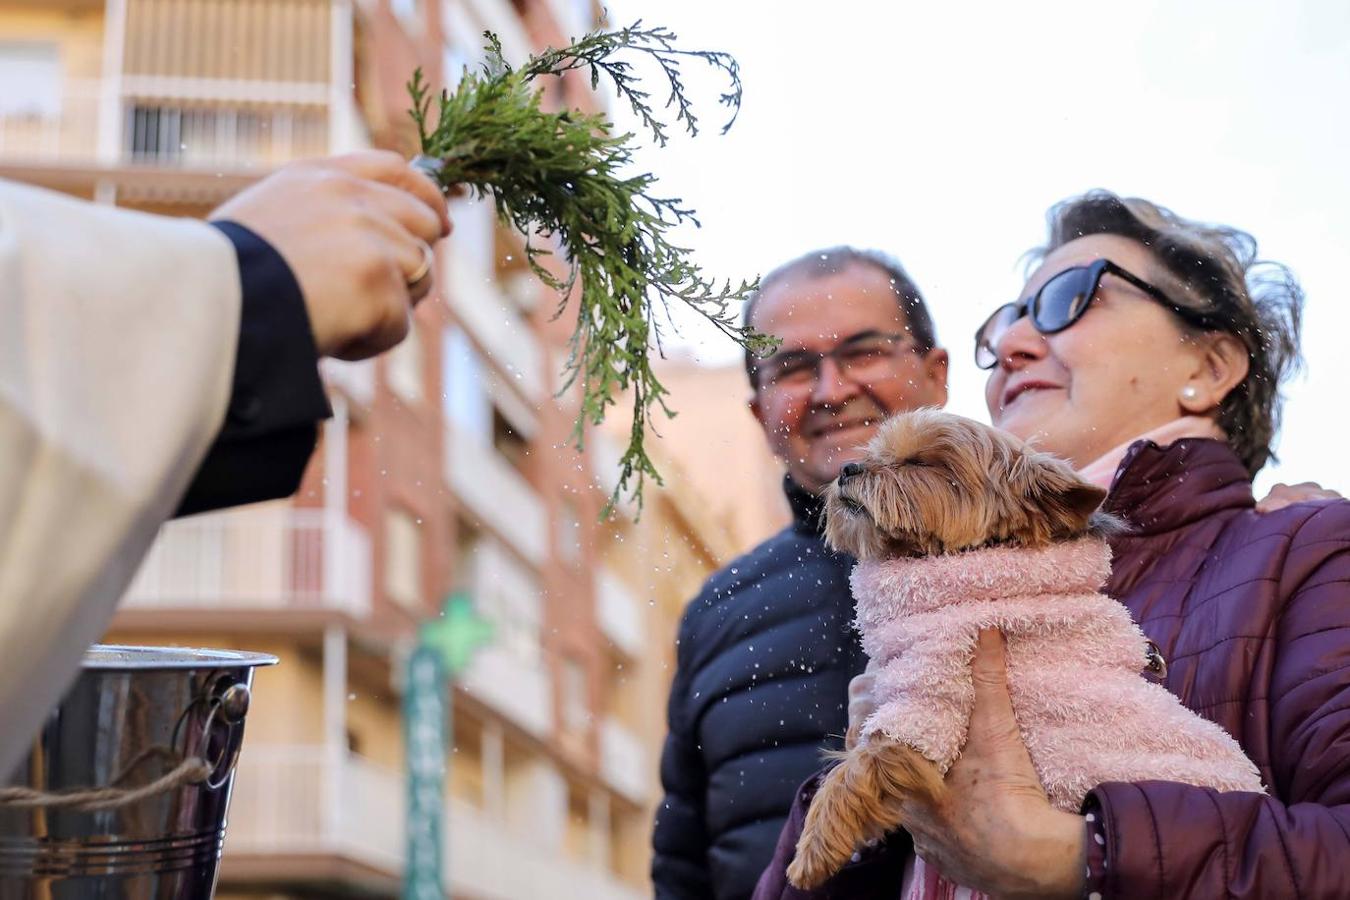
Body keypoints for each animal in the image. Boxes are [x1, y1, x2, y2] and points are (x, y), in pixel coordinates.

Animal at [788, 412, 1258, 890]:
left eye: (921, 462)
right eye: (874, 453)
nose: (848, 468)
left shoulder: (934, 693)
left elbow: (860, 766)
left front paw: (814, 848)